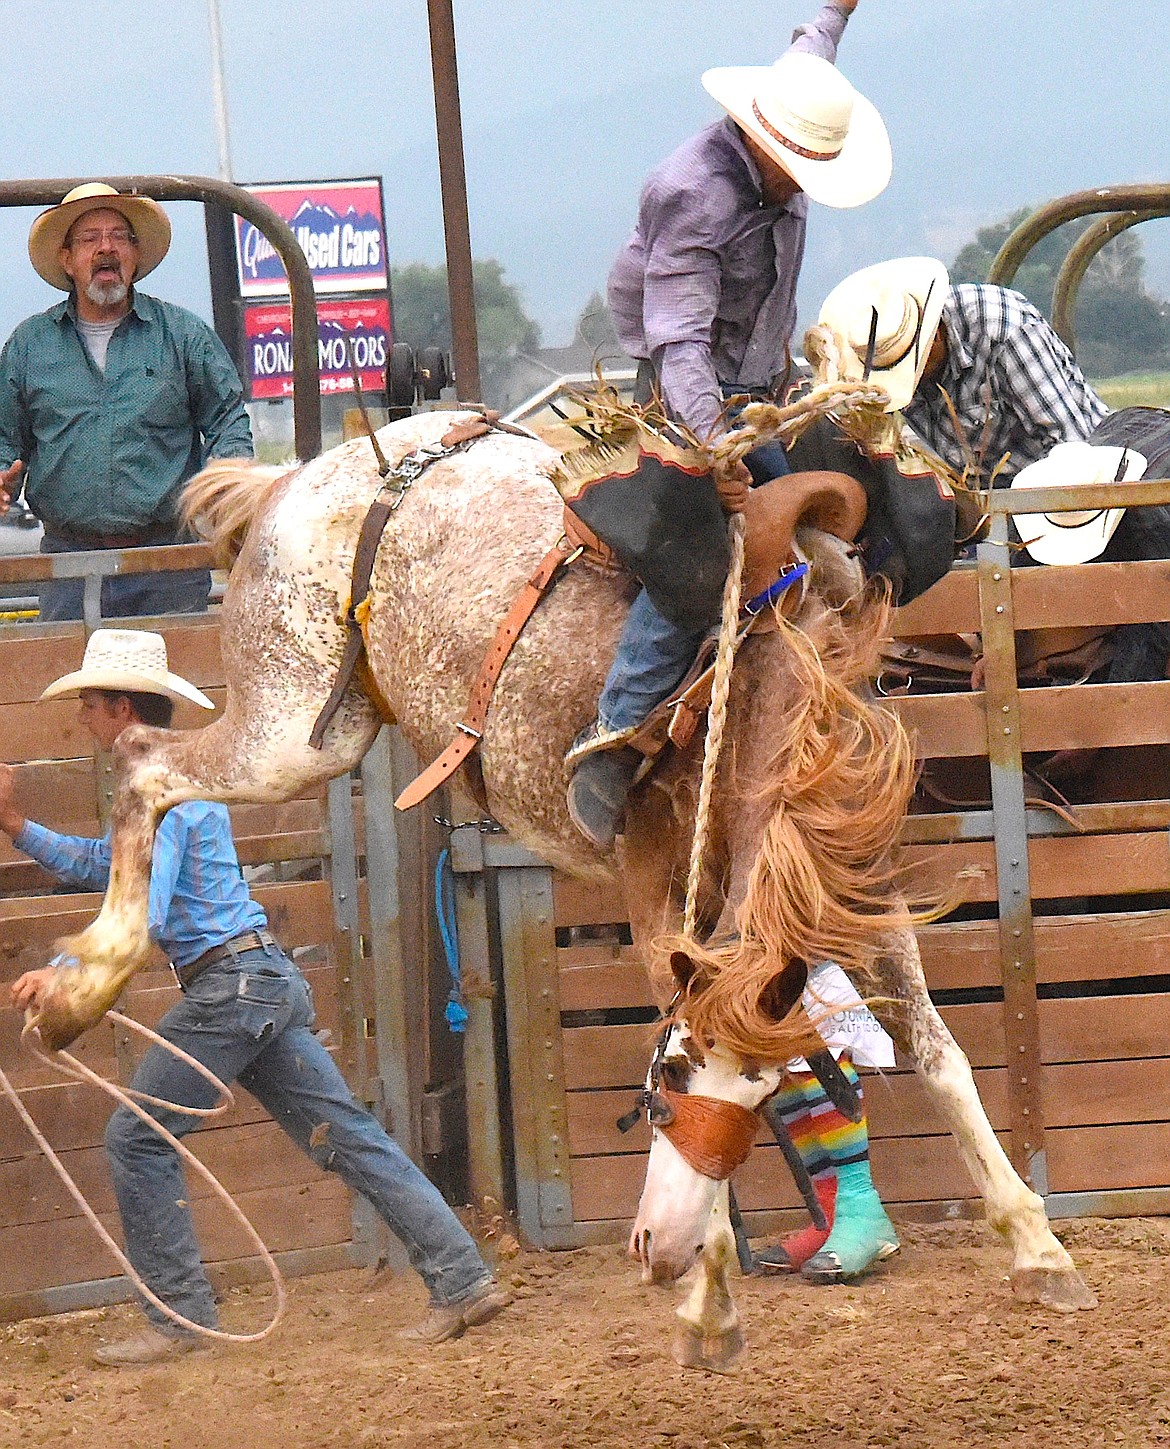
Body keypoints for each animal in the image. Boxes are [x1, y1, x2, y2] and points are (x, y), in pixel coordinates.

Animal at [25, 376, 1096, 1367]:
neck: (752, 694)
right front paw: (709, 1300)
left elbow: (942, 1059)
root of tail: (296, 479)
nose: (659, 1248)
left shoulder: (851, 890)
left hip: (333, 723)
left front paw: (1040, 1249)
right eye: (668, 1080)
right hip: (284, 728)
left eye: (764, 1099)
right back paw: (77, 992)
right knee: (143, 768)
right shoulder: (658, 897)